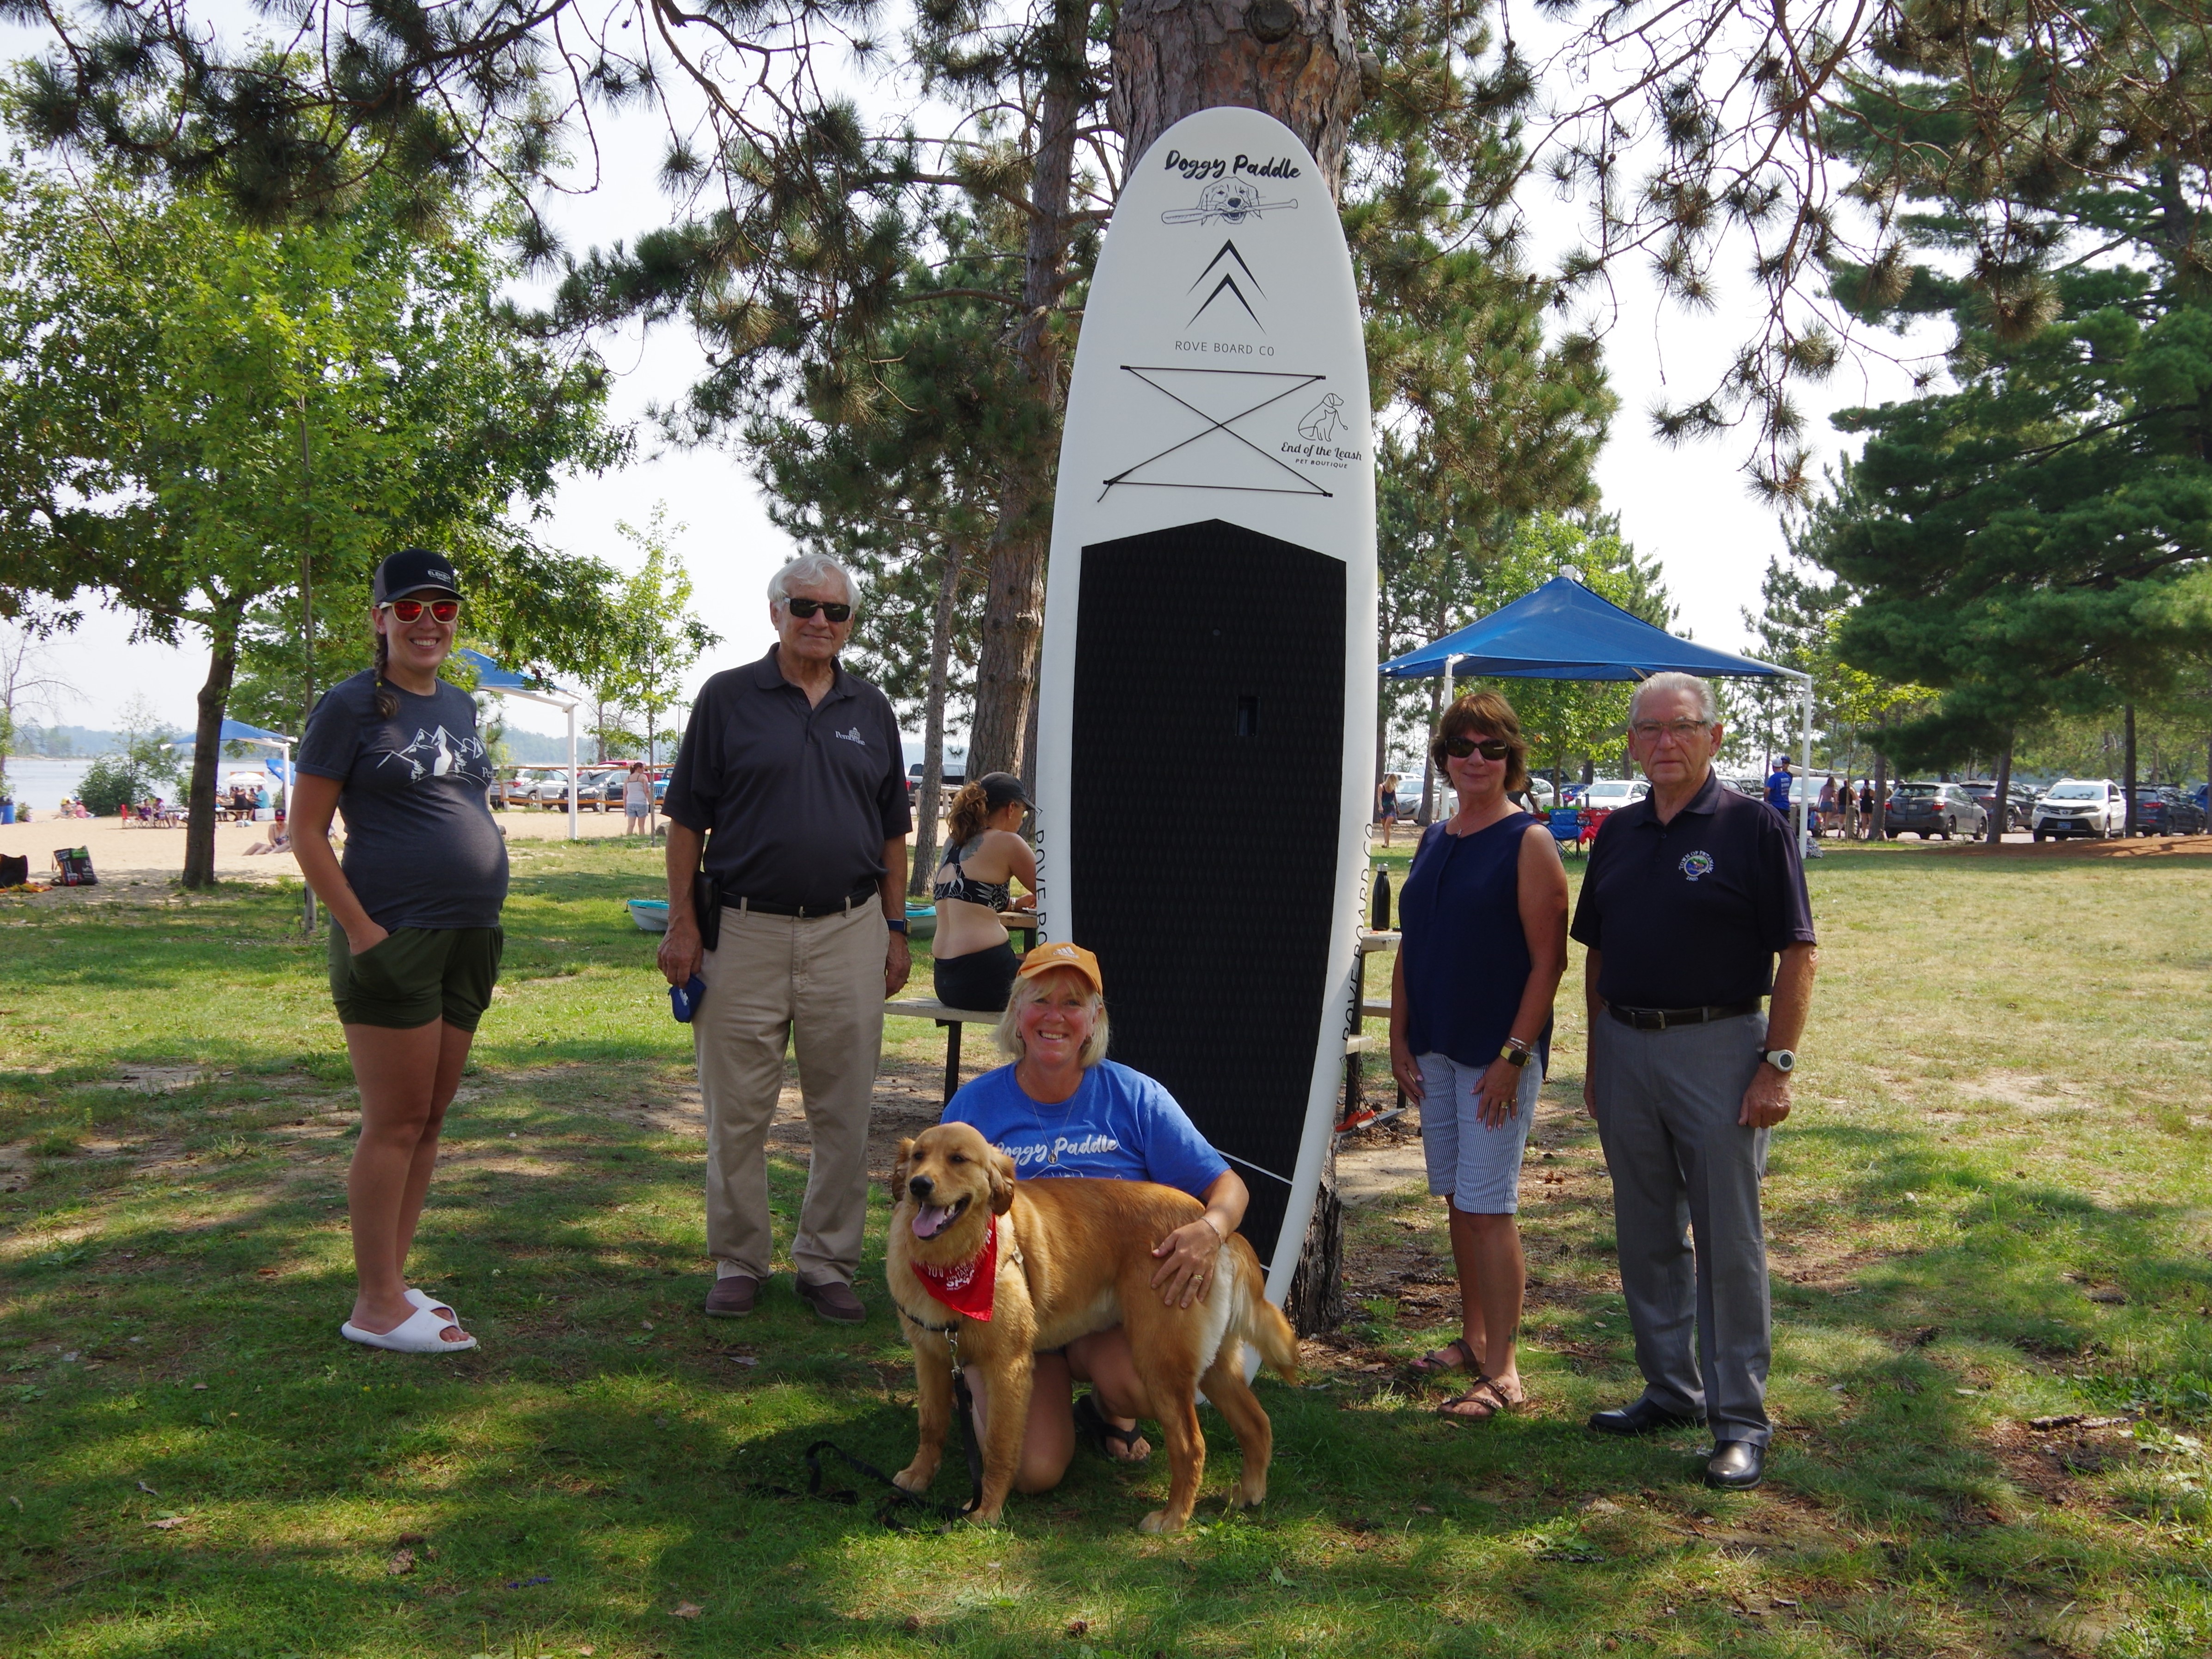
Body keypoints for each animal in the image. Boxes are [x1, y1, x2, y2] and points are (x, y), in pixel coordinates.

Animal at [880, 1123, 1292, 1539]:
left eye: (958, 1159)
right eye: (919, 1156)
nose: (918, 1185)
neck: (953, 1262)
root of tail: (1211, 1226)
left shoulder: (1007, 1367)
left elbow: (998, 1445)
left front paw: (986, 1508)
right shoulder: (931, 1356)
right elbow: (931, 1423)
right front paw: (918, 1476)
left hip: (1159, 1363)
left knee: (1191, 1445)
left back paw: (1174, 1516)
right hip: (1212, 1366)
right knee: (1257, 1423)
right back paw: (1249, 1491)